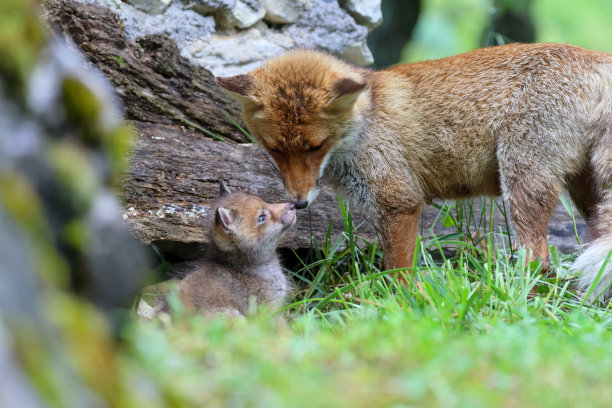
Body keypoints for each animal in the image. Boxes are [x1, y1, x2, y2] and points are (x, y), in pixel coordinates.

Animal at [215, 43, 612, 300]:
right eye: (276, 150)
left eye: (315, 146)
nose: (298, 204)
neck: (366, 121)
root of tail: (594, 56)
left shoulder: (398, 199)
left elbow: (398, 269)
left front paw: (403, 303)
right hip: (585, 192)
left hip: (522, 183)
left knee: (539, 261)